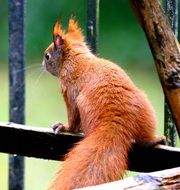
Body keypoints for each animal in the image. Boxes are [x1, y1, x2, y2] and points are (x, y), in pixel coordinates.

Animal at [43, 18, 164, 189]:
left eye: (47, 56)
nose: (43, 64)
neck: (76, 58)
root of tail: (116, 124)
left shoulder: (68, 89)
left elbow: (72, 116)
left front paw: (64, 127)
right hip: (147, 113)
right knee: (144, 139)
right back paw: (155, 140)